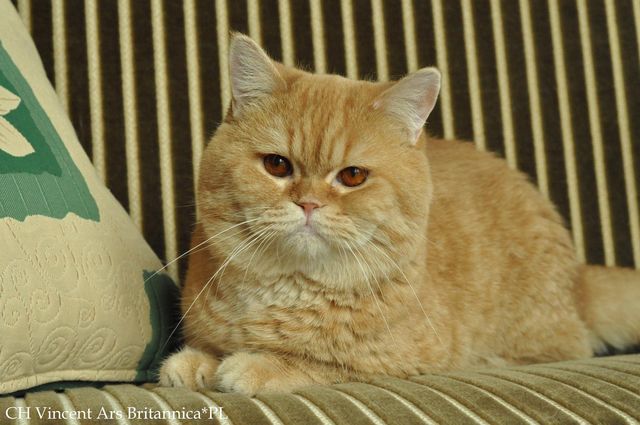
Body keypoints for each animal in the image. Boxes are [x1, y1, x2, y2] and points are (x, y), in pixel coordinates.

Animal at [159, 33, 640, 395]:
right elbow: (205, 348)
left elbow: (320, 362)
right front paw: (196, 362)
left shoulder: (403, 360)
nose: (308, 203)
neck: (287, 289)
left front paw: (253, 366)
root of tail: (579, 279)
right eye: (277, 165)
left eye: (352, 176)